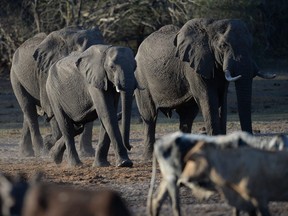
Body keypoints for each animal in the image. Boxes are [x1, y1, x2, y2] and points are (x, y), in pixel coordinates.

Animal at [10, 27, 104, 158]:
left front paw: (88, 154)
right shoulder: (46, 73)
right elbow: (51, 107)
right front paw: (48, 144)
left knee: (29, 112)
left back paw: (26, 153)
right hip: (15, 76)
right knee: (28, 108)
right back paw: (41, 152)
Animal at [134, 18, 276, 159]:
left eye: (251, 45)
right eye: (223, 45)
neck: (211, 27)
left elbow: (222, 100)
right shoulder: (193, 66)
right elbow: (208, 99)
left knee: (187, 116)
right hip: (140, 78)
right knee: (150, 116)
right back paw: (149, 157)